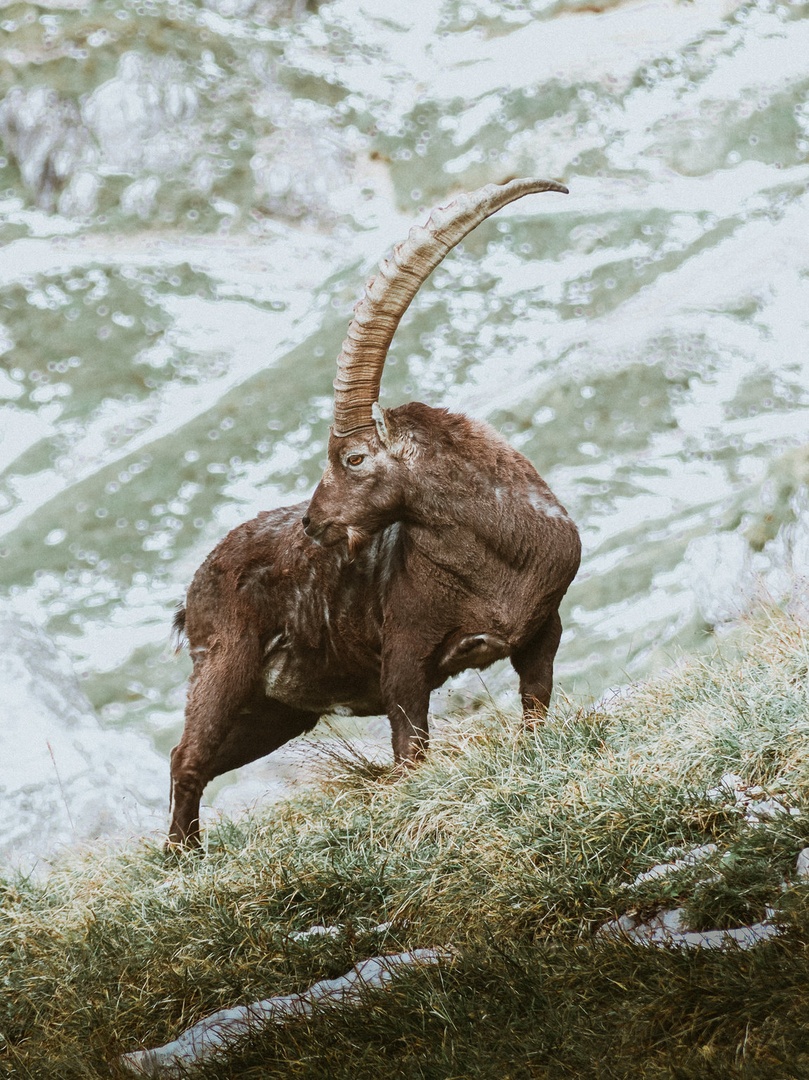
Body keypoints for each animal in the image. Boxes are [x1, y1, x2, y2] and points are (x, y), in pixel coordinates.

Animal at [168, 177, 581, 846]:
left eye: (353, 457)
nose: (313, 523)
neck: (495, 565)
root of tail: (195, 587)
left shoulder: (543, 632)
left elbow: (535, 709)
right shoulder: (405, 659)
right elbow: (409, 748)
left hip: (274, 712)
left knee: (203, 762)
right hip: (223, 666)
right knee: (187, 758)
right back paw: (181, 859)